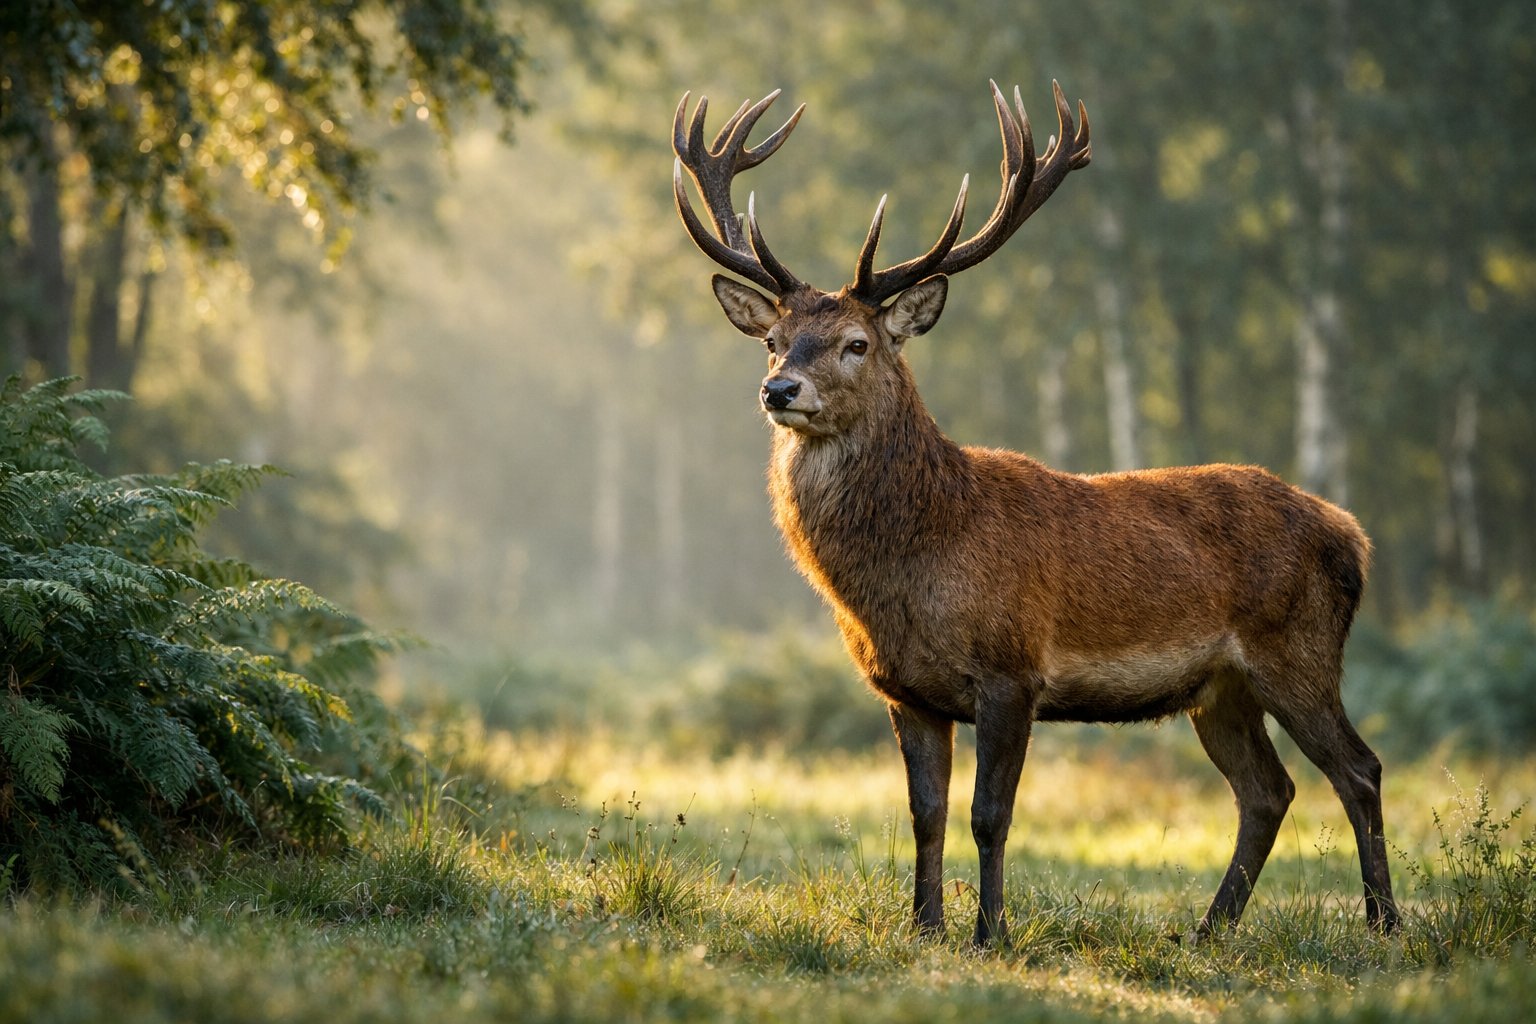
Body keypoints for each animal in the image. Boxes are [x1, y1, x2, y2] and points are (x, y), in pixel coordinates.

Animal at [670, 79, 1398, 948]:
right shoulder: (905, 690)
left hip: (1298, 651)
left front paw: (992, 934)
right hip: (1221, 689)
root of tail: (1352, 535)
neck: (915, 566)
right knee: (1268, 789)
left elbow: (990, 814)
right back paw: (1208, 929)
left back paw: (1384, 923)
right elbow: (925, 814)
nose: (779, 389)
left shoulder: (1012, 669)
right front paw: (925, 929)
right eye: (773, 339)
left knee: (1358, 767)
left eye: (855, 343)